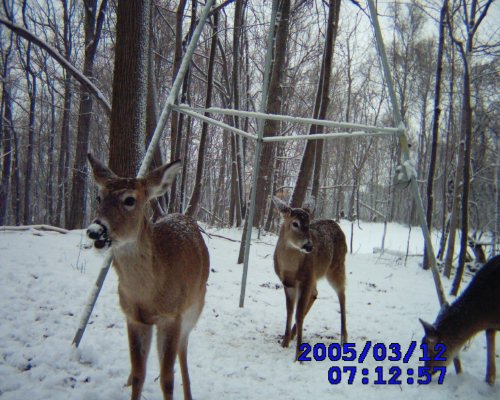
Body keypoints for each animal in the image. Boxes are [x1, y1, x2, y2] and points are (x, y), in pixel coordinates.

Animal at [86, 154, 209, 400]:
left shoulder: (172, 316)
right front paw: (131, 383)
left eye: (129, 200)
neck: (148, 294)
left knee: (182, 349)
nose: (95, 231)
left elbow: (167, 380)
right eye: (99, 197)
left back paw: (188, 393)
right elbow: (138, 374)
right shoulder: (133, 317)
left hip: (195, 305)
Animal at [274, 197, 348, 360]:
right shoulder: (287, 283)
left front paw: (298, 355)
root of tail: (336, 225)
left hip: (336, 266)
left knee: (342, 294)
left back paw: (344, 339)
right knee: (315, 293)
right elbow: (290, 311)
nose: (309, 246)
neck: (290, 269)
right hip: (316, 275)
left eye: (308, 223)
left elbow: (299, 314)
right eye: (295, 223)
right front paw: (284, 343)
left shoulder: (306, 280)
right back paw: (293, 334)